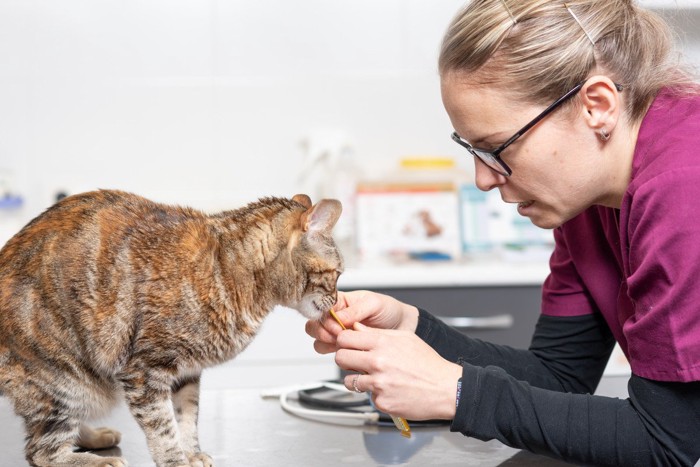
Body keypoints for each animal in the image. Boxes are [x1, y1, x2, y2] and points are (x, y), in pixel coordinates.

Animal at [0, 190, 344, 467]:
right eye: (338, 273)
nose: (338, 300)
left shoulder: (186, 373)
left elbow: (186, 418)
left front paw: (192, 453)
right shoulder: (144, 371)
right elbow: (163, 427)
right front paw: (175, 460)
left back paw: (95, 437)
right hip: (63, 379)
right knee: (42, 451)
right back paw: (95, 460)